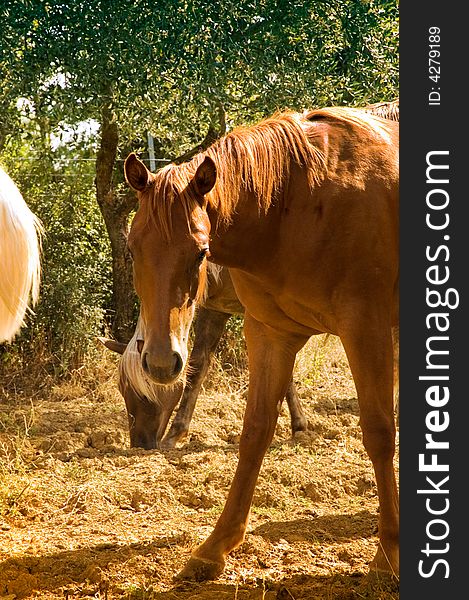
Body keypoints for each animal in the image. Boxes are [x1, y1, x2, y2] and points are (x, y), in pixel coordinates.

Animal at [122, 105, 396, 580]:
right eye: (132, 248)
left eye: (201, 251)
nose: (159, 361)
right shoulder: (268, 332)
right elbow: (253, 432)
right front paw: (215, 546)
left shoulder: (367, 328)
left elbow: (379, 432)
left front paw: (388, 554)